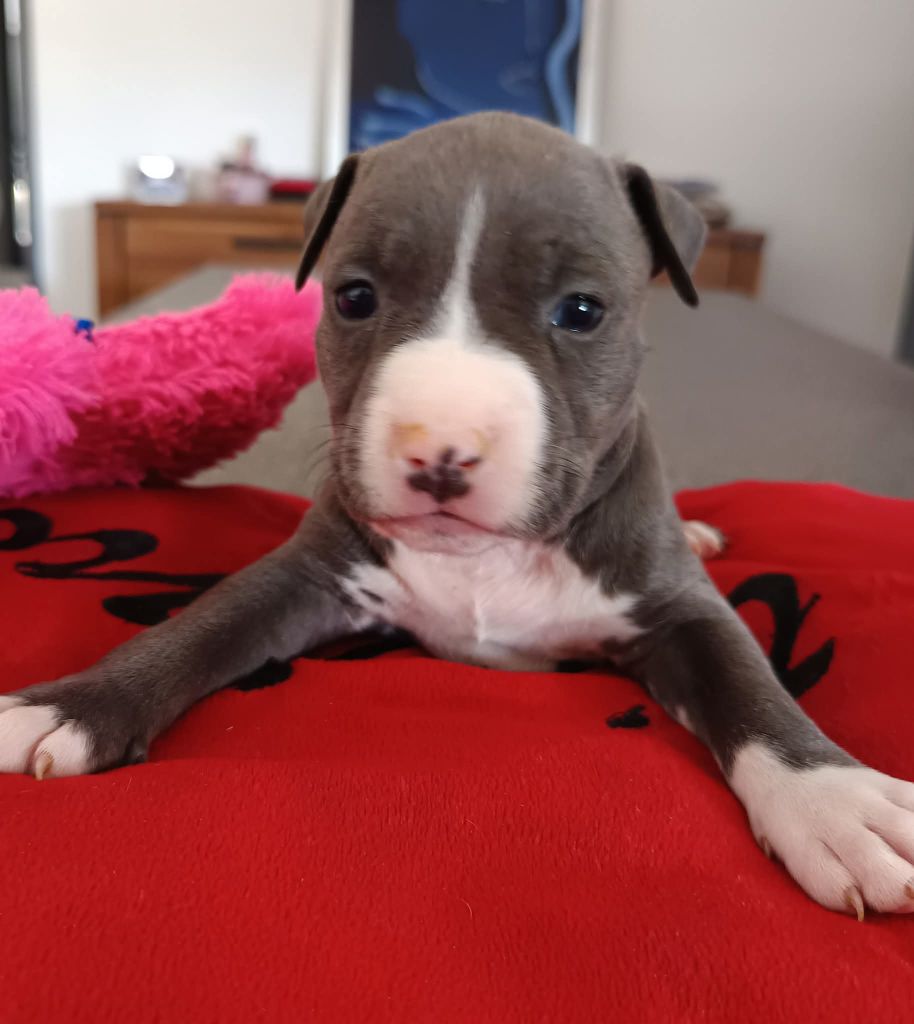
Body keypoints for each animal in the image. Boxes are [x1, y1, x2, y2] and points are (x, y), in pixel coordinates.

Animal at [2, 113, 912, 919]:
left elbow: (747, 685)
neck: (490, 560)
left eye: (582, 311)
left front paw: (835, 803)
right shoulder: (311, 574)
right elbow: (199, 625)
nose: (439, 447)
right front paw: (74, 705)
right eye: (354, 297)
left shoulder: (681, 610)